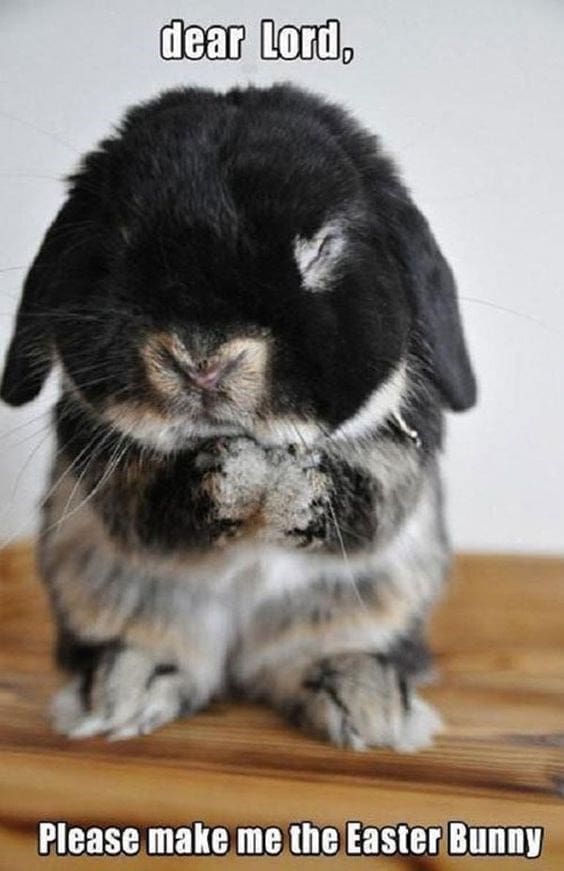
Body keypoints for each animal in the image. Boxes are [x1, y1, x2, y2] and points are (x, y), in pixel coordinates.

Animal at [1, 83, 476, 750]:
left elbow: (363, 502)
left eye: (321, 248)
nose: (202, 361)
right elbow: (154, 503)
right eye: (119, 243)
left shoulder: (398, 459)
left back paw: (370, 707)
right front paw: (244, 479)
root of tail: (237, 660)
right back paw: (123, 693)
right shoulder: (103, 459)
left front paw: (281, 484)